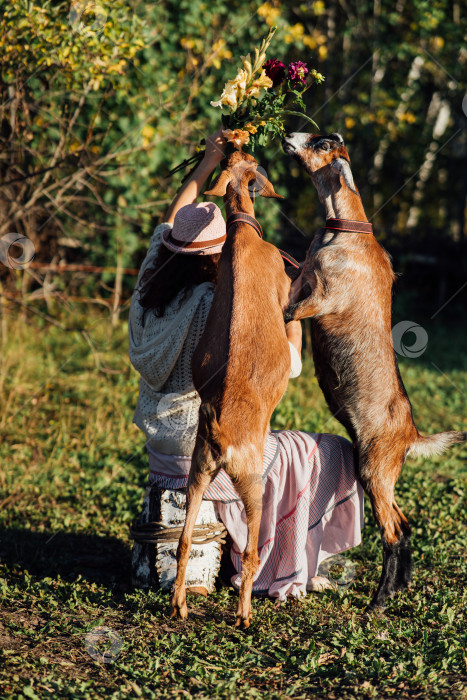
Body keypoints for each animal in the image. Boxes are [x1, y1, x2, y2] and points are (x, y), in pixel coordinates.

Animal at [170, 150, 290, 628]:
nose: (238, 146)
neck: (241, 233)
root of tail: (222, 436)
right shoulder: (286, 283)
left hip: (197, 473)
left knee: (184, 542)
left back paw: (180, 605)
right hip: (253, 483)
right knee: (253, 552)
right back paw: (244, 615)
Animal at [284, 130, 466, 608]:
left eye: (321, 143)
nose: (290, 135)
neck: (345, 233)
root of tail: (411, 434)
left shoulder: (320, 298)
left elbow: (291, 308)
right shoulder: (304, 276)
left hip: (374, 468)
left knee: (393, 531)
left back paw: (380, 600)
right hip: (381, 473)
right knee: (404, 524)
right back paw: (400, 586)